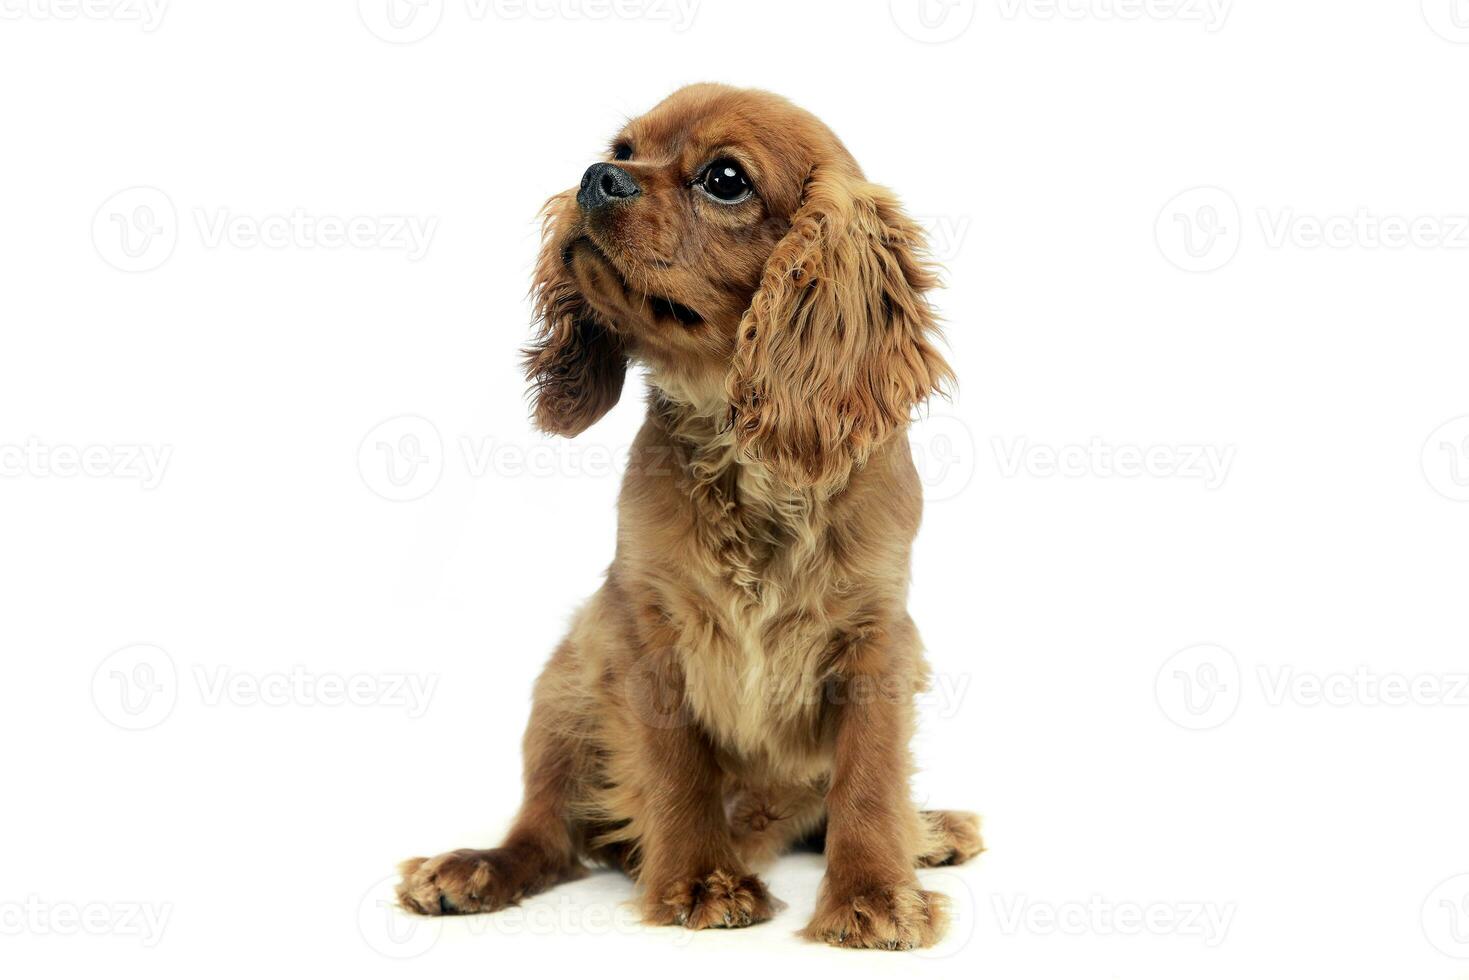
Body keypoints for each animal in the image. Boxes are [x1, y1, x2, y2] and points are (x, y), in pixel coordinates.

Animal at [396, 84, 981, 952]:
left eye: (724, 179)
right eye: (623, 148)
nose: (596, 177)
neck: (739, 451)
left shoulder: (877, 640)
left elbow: (869, 780)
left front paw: (875, 895)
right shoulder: (646, 630)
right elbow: (677, 769)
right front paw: (701, 881)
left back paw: (928, 830)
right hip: (564, 688)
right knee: (545, 832)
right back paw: (474, 869)